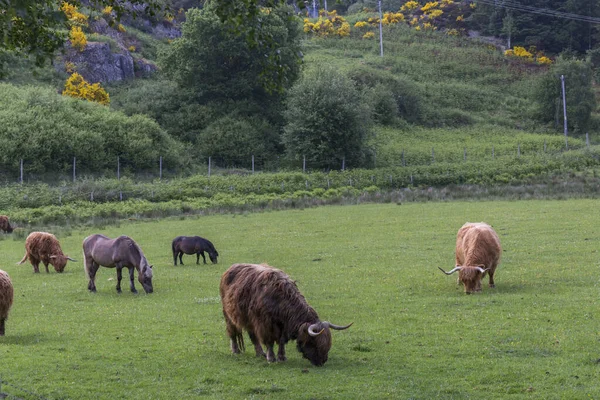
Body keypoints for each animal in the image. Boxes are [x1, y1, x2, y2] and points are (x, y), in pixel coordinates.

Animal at [220, 262, 352, 366]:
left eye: (327, 343)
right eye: (314, 342)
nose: (322, 361)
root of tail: (230, 268)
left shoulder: (283, 327)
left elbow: (281, 341)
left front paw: (282, 357)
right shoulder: (265, 325)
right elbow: (269, 342)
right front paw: (271, 358)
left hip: (248, 320)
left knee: (253, 336)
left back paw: (260, 353)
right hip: (229, 315)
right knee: (233, 332)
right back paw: (236, 350)